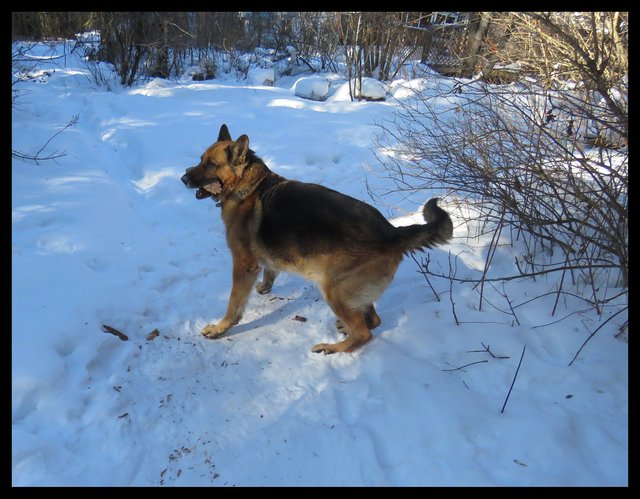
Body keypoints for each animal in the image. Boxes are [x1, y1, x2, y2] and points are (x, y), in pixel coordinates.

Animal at [180, 123, 452, 354]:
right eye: (200, 160)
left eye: (210, 164)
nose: (183, 178)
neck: (247, 185)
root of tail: (390, 231)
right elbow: (270, 270)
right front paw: (266, 286)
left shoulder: (243, 265)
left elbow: (233, 304)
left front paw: (220, 328)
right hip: (348, 291)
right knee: (373, 319)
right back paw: (346, 328)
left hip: (333, 289)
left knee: (365, 333)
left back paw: (333, 348)